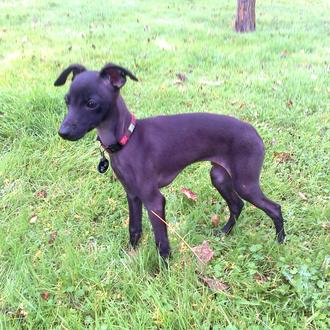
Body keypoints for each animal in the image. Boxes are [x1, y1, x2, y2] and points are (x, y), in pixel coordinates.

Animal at [54, 63, 286, 260]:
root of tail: (254, 132)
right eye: (67, 101)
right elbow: (134, 228)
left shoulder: (154, 200)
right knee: (237, 205)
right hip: (219, 176)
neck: (127, 139)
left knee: (274, 207)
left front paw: (163, 271)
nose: (62, 133)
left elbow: (161, 241)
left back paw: (280, 242)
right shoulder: (133, 195)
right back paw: (225, 232)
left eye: (91, 103)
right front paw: (130, 255)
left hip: (245, 183)